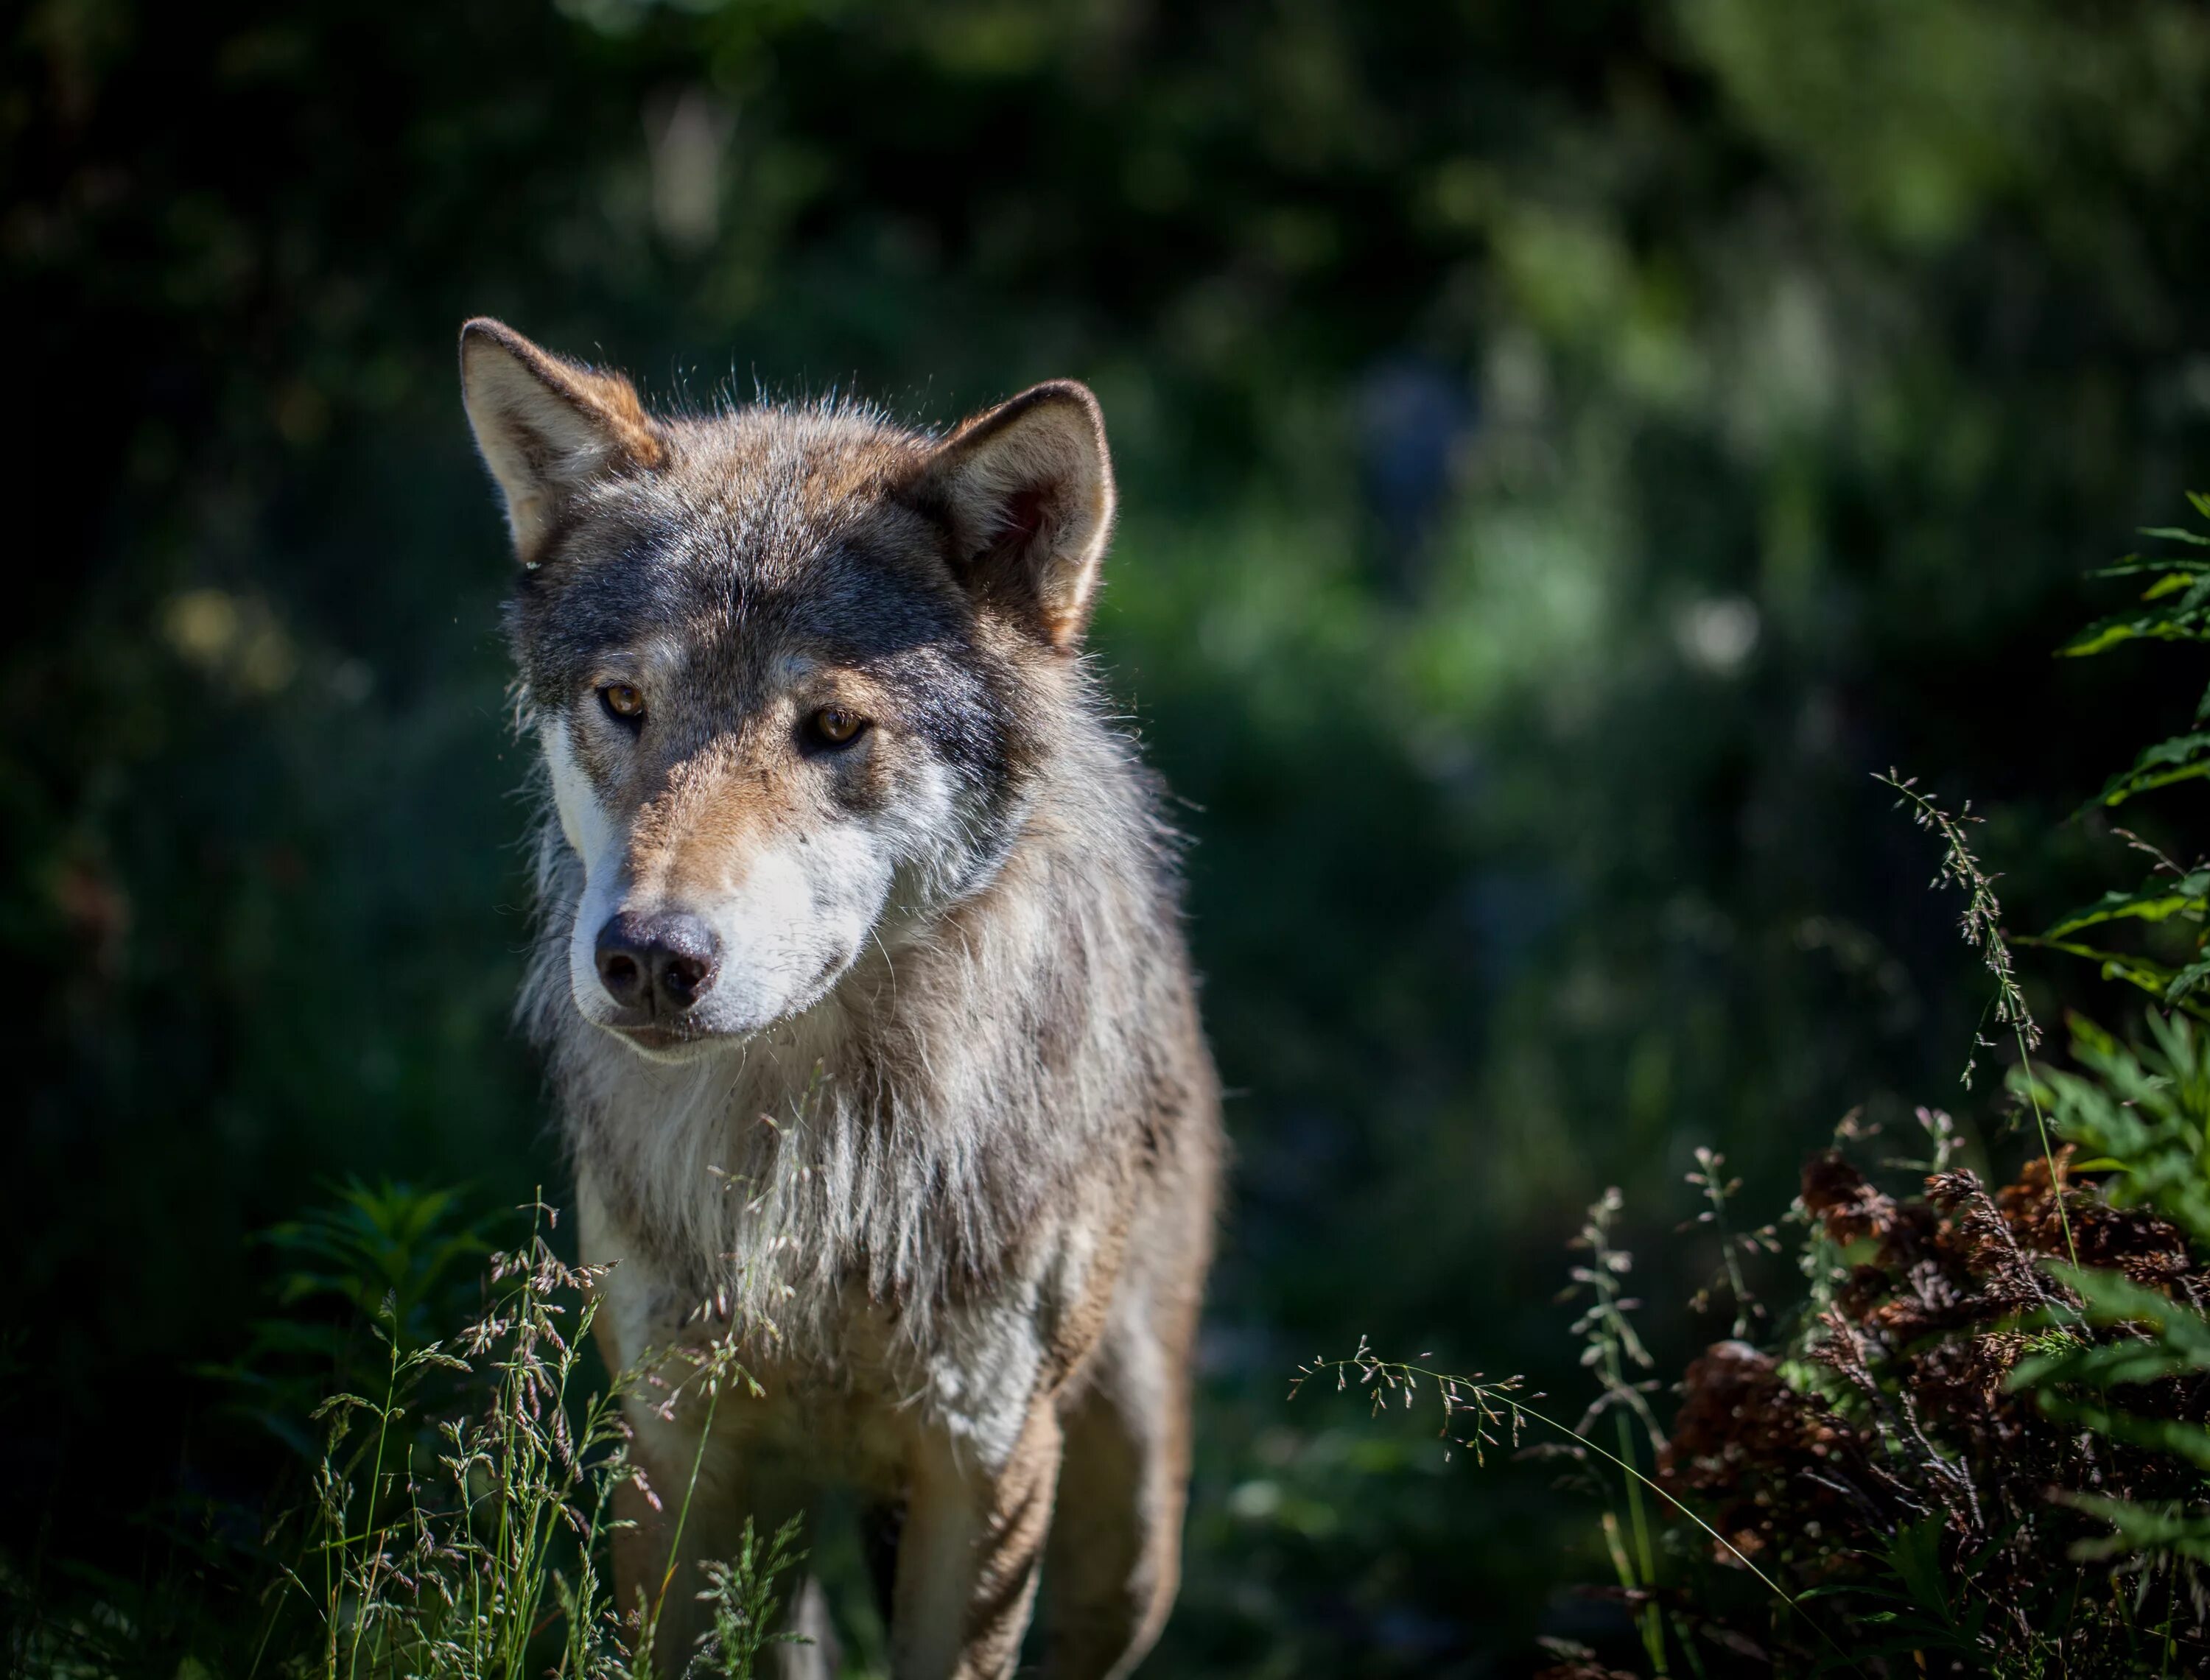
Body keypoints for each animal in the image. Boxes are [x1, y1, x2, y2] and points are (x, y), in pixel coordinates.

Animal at [462, 318, 1229, 1680]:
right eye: (624, 703)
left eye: (830, 726)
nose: (649, 955)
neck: (820, 1163)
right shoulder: (678, 1448)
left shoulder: (986, 1459)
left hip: (1129, 1531)